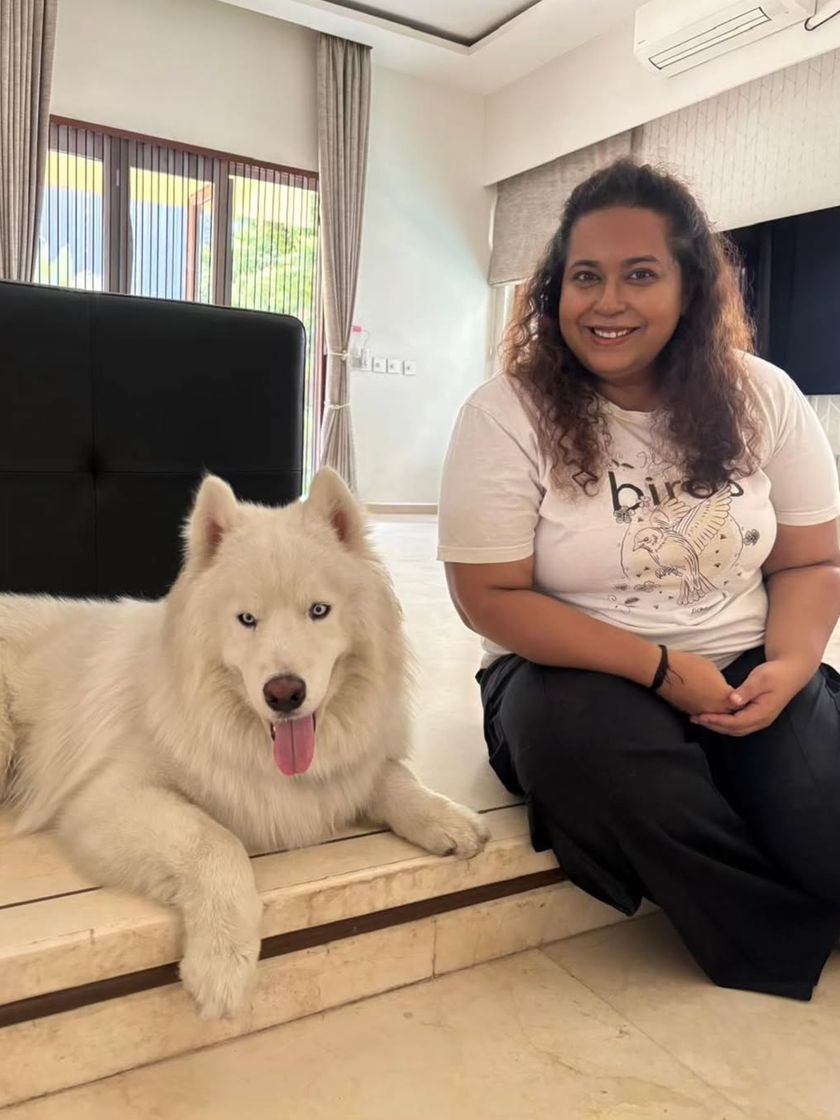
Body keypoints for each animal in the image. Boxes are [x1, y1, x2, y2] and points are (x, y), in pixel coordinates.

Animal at [0, 469, 490, 1018]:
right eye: (247, 620)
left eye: (318, 610)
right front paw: (221, 965)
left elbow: (393, 777)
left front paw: (450, 819)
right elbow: (215, 842)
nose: (284, 693)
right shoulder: (108, 797)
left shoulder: (350, 769)